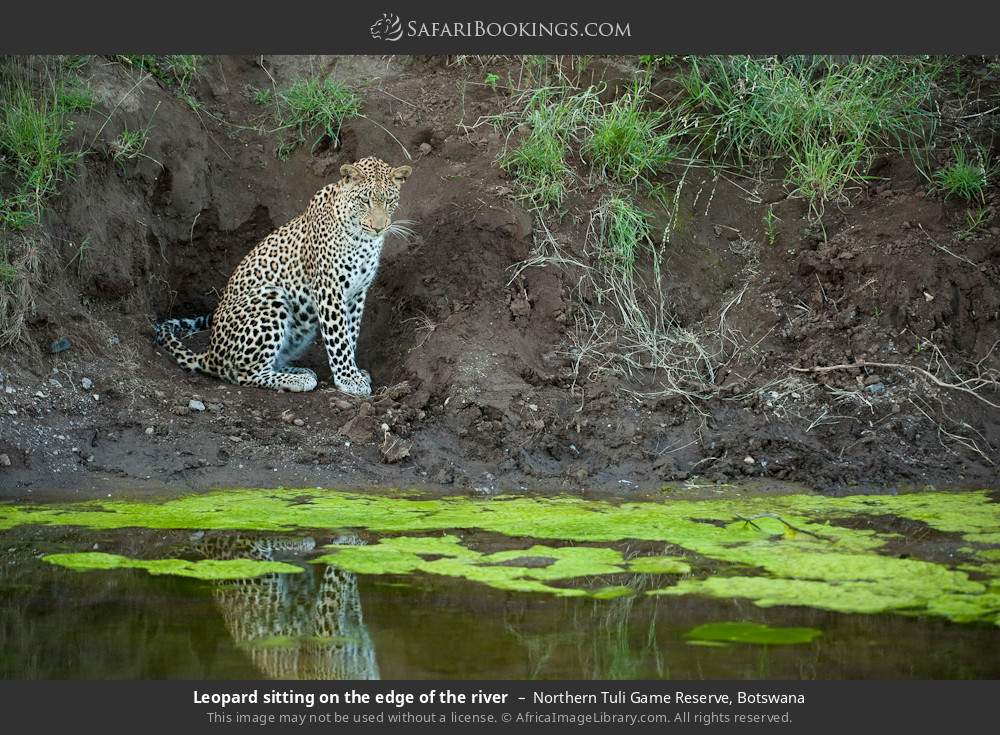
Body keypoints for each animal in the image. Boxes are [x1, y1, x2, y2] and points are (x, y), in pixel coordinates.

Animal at [154, 157, 413, 397]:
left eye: (389, 201)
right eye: (364, 201)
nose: (379, 227)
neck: (364, 240)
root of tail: (210, 353)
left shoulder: (357, 293)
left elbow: (351, 333)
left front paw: (354, 372)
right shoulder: (329, 288)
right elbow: (339, 337)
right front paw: (348, 378)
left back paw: (299, 371)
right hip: (270, 298)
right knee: (243, 373)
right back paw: (297, 380)